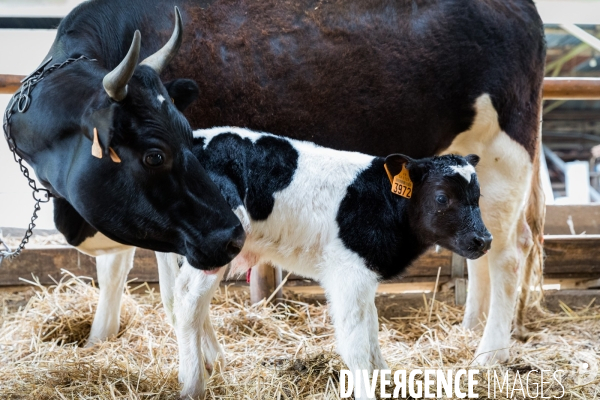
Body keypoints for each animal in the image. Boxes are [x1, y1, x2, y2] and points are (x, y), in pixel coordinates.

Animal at [90, 126, 492, 398]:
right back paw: (193, 385)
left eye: (477, 196)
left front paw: (388, 378)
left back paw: (212, 364)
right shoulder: (348, 274)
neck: (381, 202)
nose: (484, 240)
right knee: (189, 302)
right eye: (441, 197)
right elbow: (356, 343)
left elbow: (373, 332)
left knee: (183, 300)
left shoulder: (364, 275)